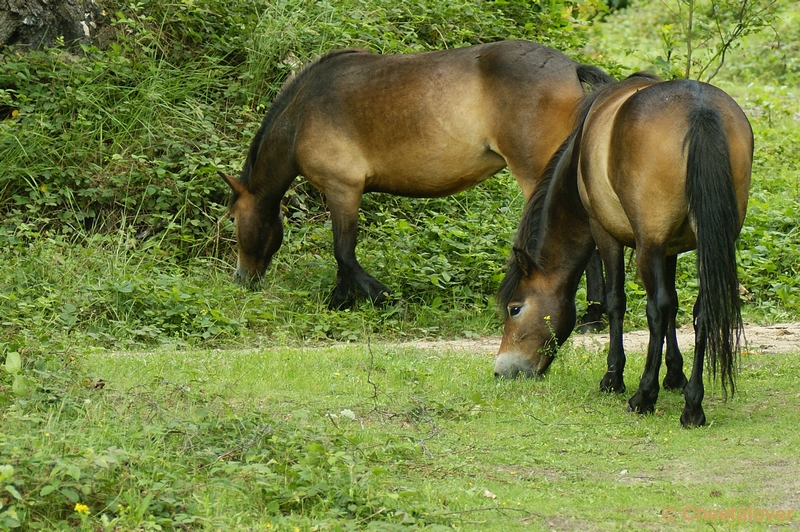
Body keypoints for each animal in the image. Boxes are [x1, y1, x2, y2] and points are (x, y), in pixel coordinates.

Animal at [219, 42, 612, 316]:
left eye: (234, 219)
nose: (241, 279)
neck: (302, 114)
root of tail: (571, 67)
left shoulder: (342, 188)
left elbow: (343, 252)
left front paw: (378, 298)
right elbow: (343, 256)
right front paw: (341, 302)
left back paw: (591, 317)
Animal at [496, 72, 752, 426]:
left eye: (515, 309)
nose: (501, 371)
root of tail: (699, 107)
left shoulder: (605, 233)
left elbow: (616, 301)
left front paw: (613, 377)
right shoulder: (669, 249)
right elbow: (674, 306)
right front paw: (675, 375)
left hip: (648, 245)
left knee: (657, 310)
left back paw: (643, 396)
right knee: (701, 313)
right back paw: (693, 406)